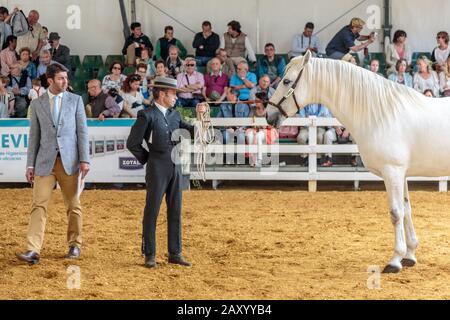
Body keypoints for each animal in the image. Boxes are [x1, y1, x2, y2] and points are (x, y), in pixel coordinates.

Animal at [268, 51, 450, 274]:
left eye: (286, 81)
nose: (269, 116)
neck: (382, 114)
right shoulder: (402, 174)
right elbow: (407, 210)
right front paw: (410, 255)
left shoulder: (392, 172)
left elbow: (396, 213)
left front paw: (395, 260)